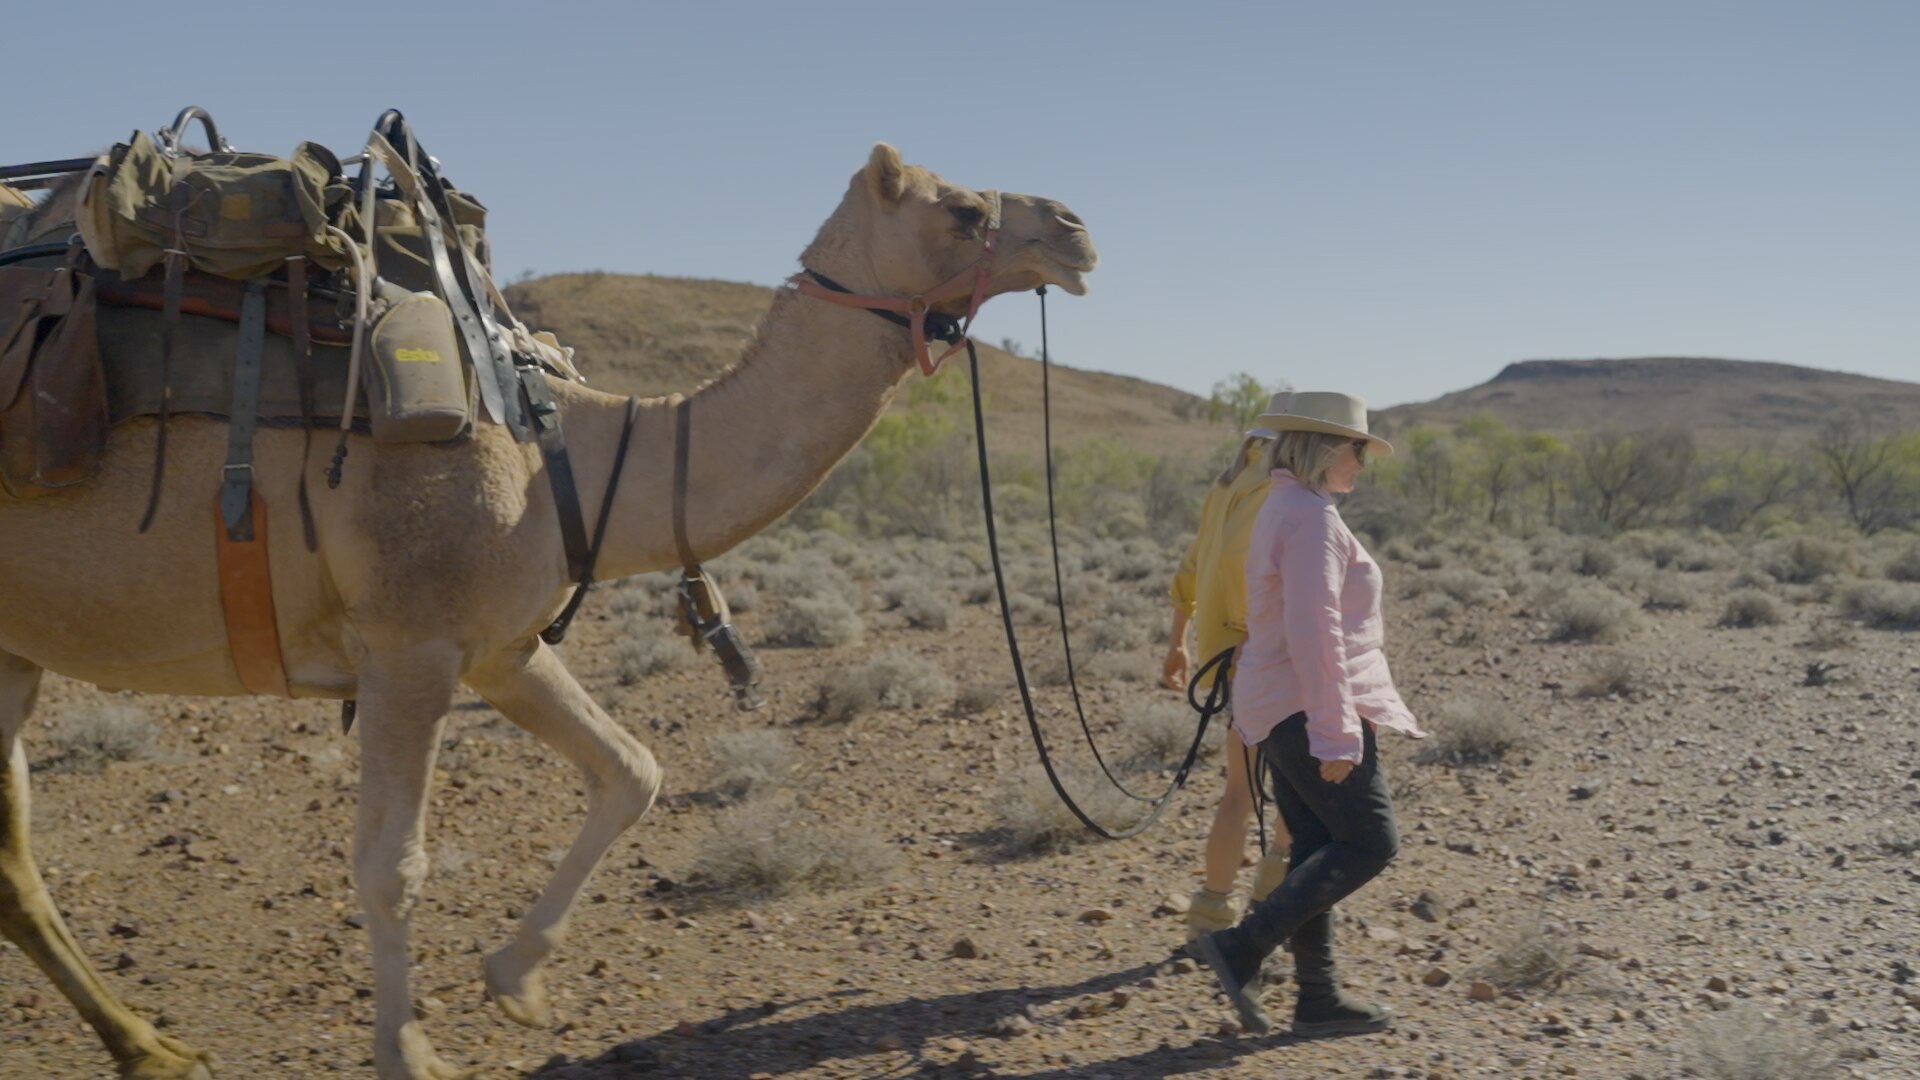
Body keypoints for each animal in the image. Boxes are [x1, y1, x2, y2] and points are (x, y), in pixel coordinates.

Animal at [0, 143, 1097, 1080]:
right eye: (962, 210)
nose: (1077, 229)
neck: (559, 442)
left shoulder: (501, 648)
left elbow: (633, 771)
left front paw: (515, 980)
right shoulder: (410, 642)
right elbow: (391, 864)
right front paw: (411, 1052)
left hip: (12, 652)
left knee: (14, 866)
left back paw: (149, 1046)